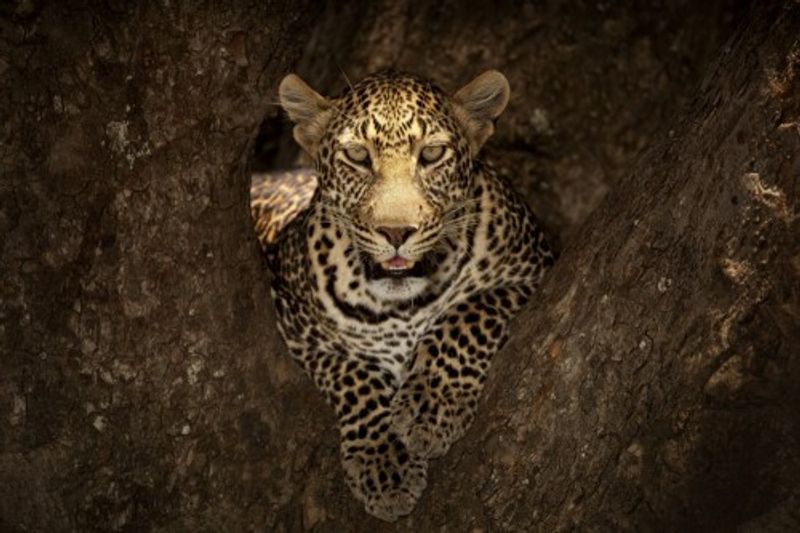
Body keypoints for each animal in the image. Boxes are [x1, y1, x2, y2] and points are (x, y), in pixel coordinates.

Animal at [251, 70, 554, 521]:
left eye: (432, 154)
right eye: (358, 155)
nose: (396, 233)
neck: (400, 306)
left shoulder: (534, 270)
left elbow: (467, 314)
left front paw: (431, 406)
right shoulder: (295, 327)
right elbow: (353, 374)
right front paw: (384, 464)